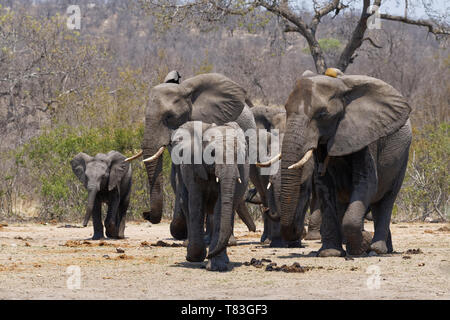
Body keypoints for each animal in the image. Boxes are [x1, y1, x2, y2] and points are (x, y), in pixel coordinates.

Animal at [172, 121, 250, 272]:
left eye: (240, 155)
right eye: (212, 154)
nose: (209, 254)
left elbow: (221, 208)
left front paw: (216, 265)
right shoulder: (193, 166)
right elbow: (196, 203)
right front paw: (195, 258)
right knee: (186, 202)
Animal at [282, 69, 412, 256]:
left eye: (323, 114)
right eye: (285, 109)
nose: (298, 232)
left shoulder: (365, 135)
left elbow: (367, 183)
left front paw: (360, 248)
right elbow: (323, 186)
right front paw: (330, 253)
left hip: (402, 158)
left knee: (386, 199)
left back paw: (378, 250)